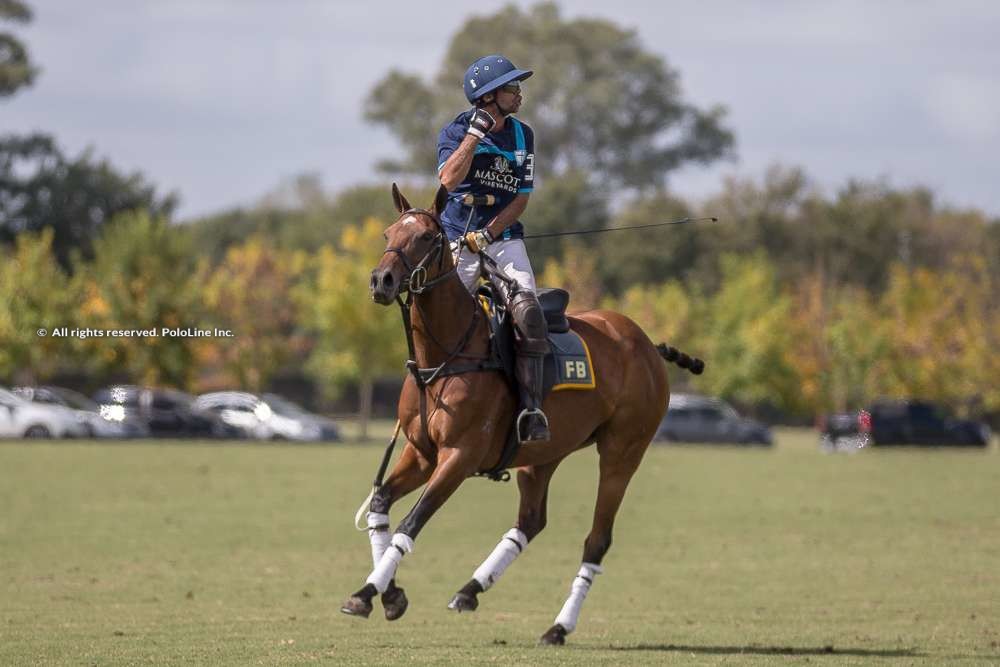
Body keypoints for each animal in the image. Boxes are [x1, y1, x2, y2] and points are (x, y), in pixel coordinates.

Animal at [344, 185, 704, 644]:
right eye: (389, 233)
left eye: (426, 236)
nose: (381, 280)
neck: (445, 354)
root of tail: (646, 344)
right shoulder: (421, 453)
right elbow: (380, 504)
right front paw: (389, 595)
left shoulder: (459, 456)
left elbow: (411, 522)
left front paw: (366, 592)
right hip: (544, 452)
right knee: (531, 520)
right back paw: (470, 590)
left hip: (623, 452)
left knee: (597, 539)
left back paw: (559, 626)